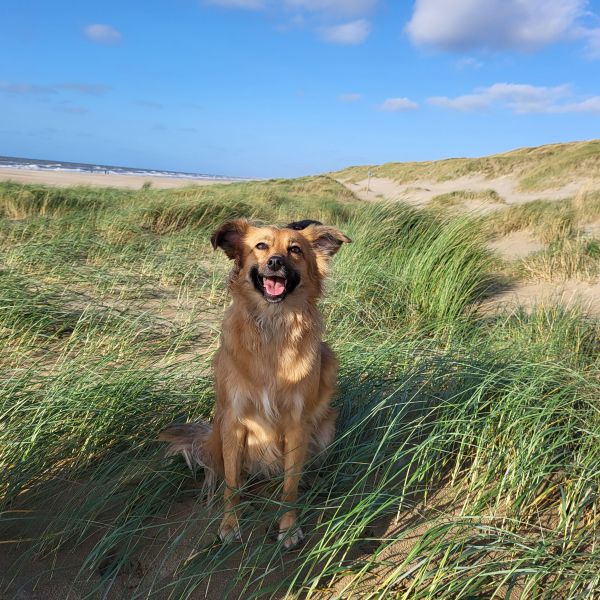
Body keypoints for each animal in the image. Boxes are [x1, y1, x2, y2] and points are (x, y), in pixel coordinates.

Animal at [159, 219, 352, 548]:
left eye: (295, 249)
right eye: (261, 246)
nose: (275, 262)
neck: (273, 325)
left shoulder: (297, 424)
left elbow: (290, 485)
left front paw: (288, 526)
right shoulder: (234, 421)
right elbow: (231, 484)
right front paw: (229, 524)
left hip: (326, 426)